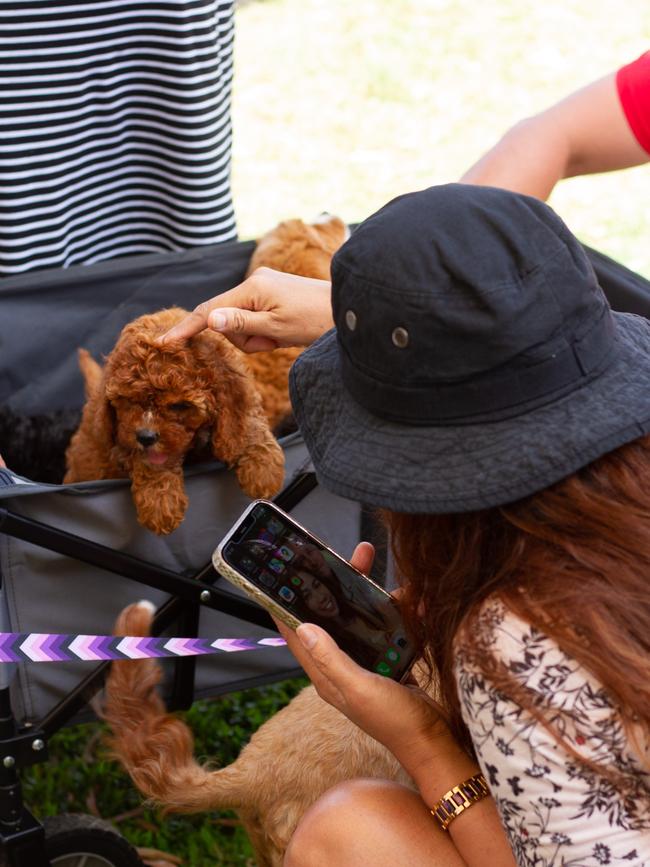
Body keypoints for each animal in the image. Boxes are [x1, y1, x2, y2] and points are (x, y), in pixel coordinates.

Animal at [64, 214, 350, 536]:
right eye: (128, 402)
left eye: (180, 406)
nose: (146, 436)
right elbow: (149, 459)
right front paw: (161, 501)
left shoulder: (240, 384)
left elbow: (246, 422)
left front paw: (262, 471)